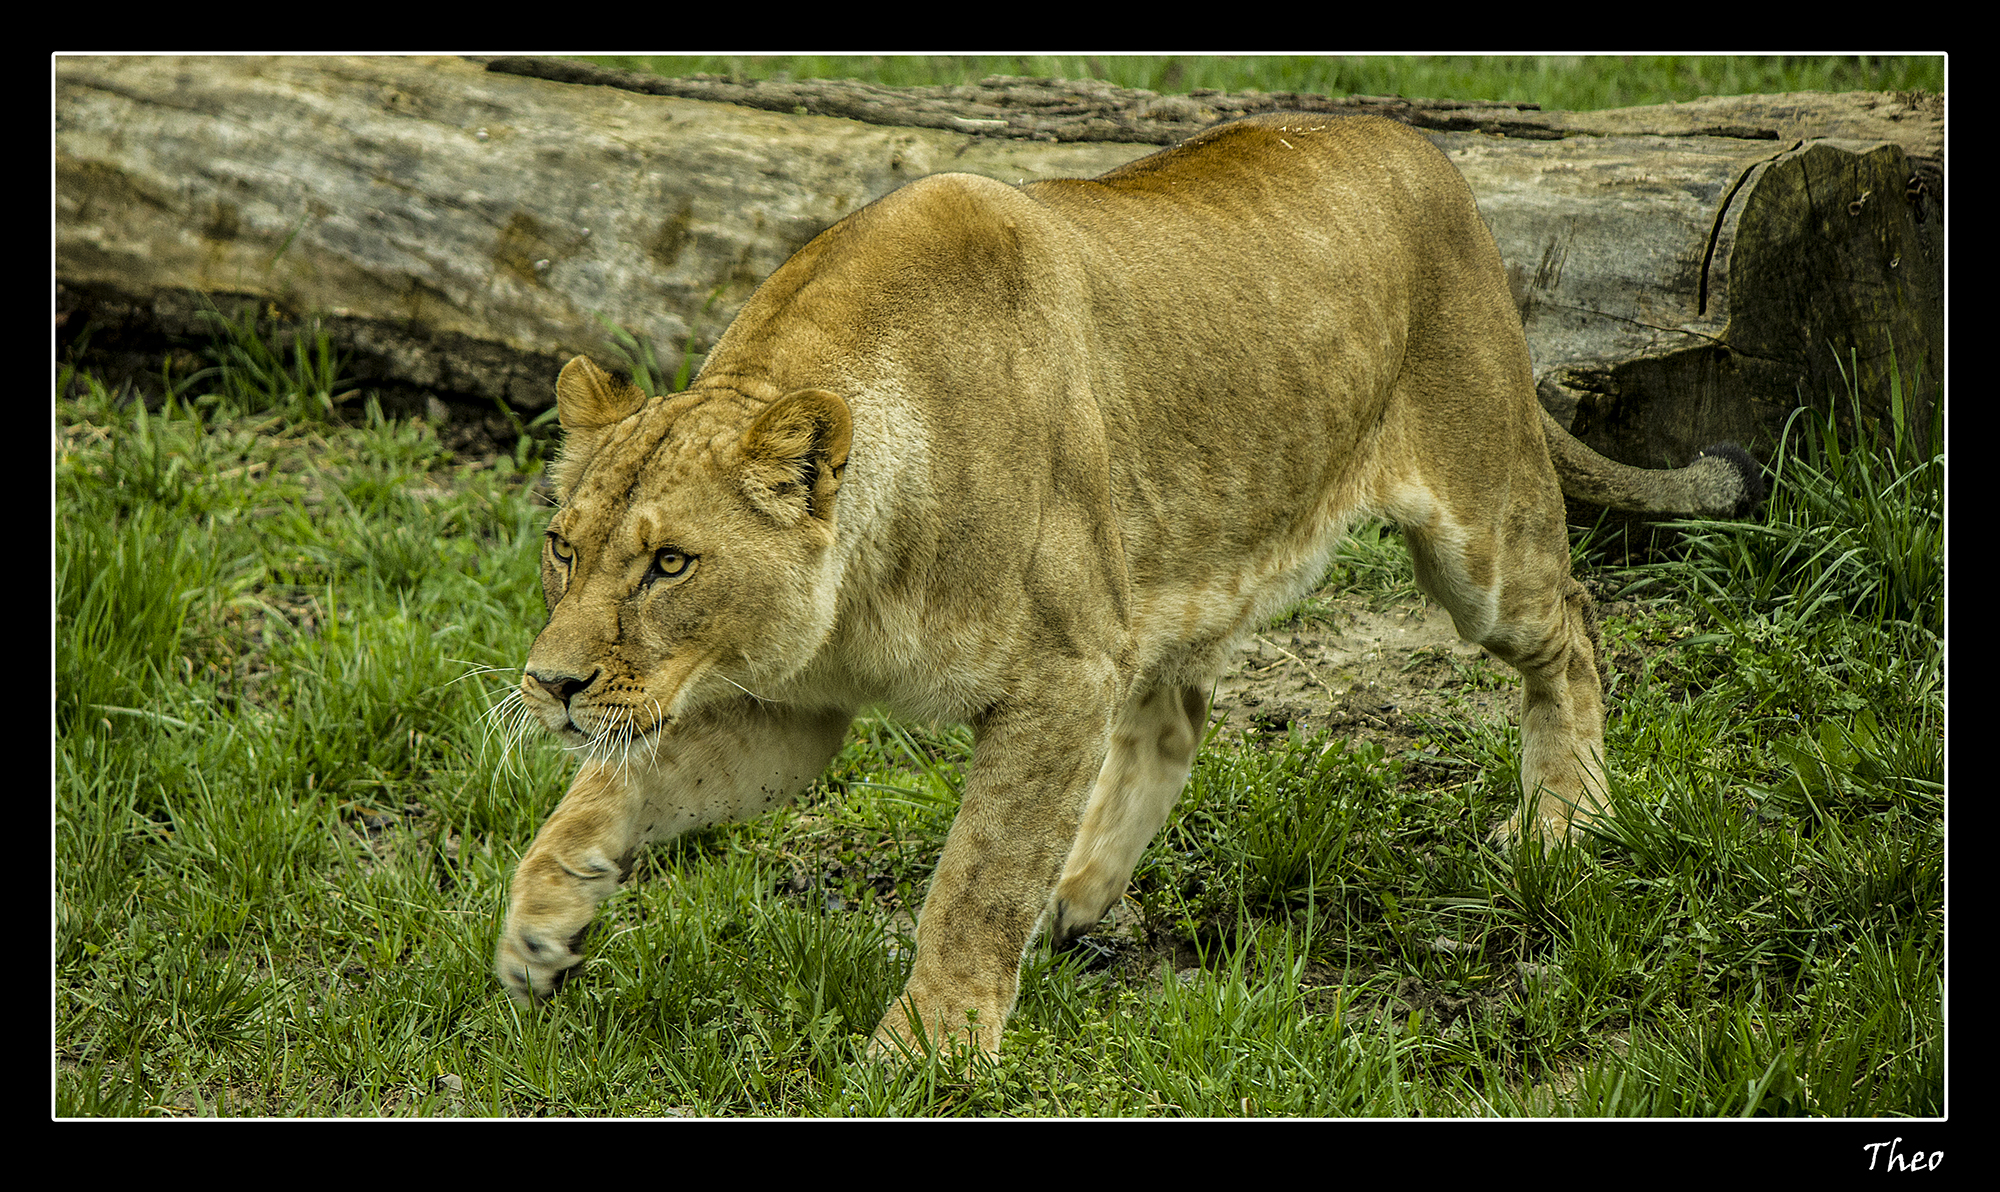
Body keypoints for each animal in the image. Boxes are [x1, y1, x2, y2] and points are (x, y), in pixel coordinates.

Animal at [494, 114, 1760, 1057]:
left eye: (669, 562)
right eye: (563, 546)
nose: (549, 684)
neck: (852, 582)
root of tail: (1421, 145)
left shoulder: (1057, 676)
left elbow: (977, 877)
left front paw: (928, 1050)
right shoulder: (790, 710)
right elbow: (613, 786)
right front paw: (540, 924)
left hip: (1477, 528)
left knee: (1572, 622)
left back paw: (1562, 819)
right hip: (1162, 571)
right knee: (1174, 716)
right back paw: (1081, 891)